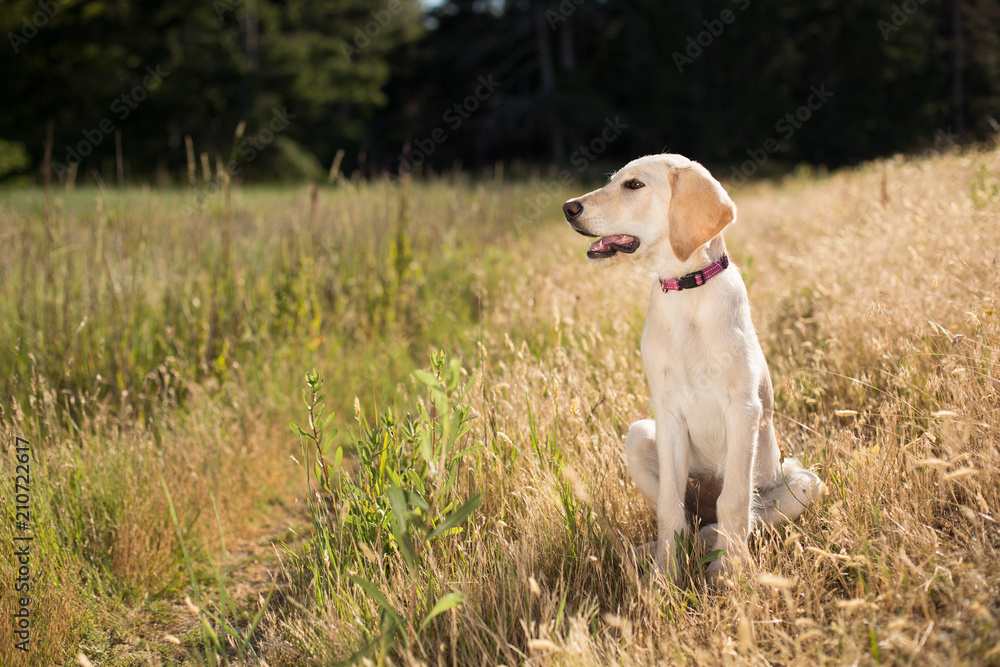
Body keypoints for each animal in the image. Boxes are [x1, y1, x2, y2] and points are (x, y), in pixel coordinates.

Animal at [564, 154, 820, 580]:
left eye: (634, 185)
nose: (568, 208)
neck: (687, 290)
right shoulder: (666, 410)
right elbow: (670, 507)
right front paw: (664, 577)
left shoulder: (743, 409)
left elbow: (734, 502)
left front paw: (732, 574)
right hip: (639, 436)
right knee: (687, 515)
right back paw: (652, 552)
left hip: (803, 482)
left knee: (734, 514)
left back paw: (713, 550)